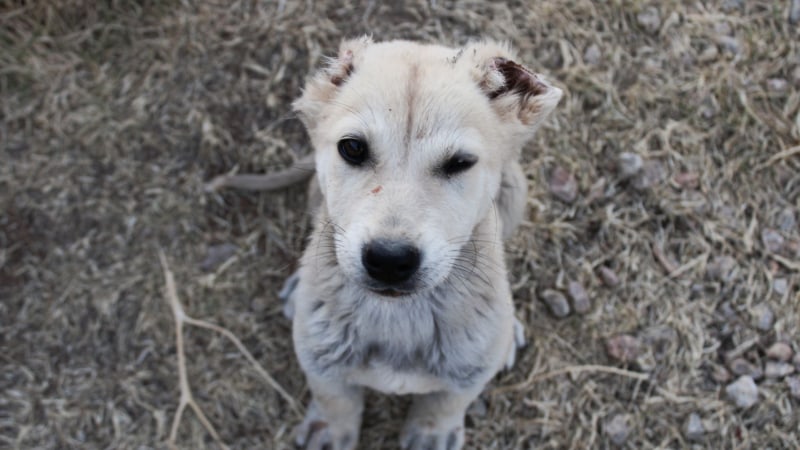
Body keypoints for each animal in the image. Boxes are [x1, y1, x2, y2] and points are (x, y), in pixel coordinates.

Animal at [212, 38, 564, 450]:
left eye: (460, 162)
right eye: (352, 148)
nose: (390, 261)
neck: (399, 316)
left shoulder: (470, 370)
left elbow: (448, 400)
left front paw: (432, 433)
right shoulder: (318, 361)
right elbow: (333, 398)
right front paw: (330, 431)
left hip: (515, 194)